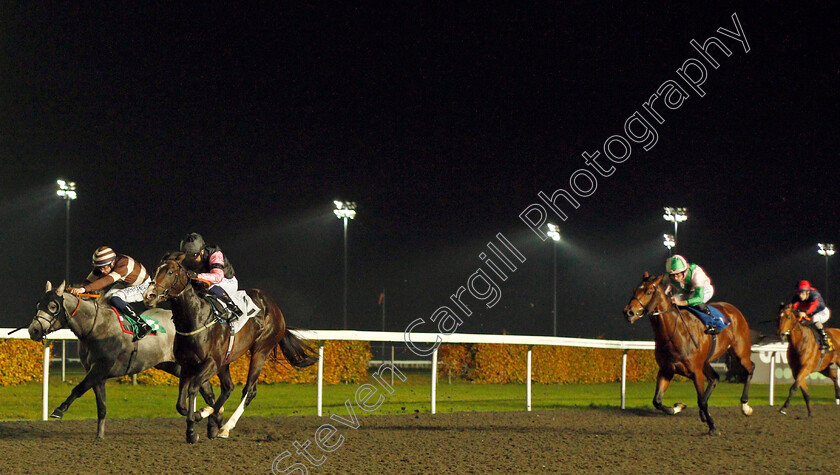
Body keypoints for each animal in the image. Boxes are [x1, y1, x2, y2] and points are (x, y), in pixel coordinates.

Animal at [28, 280, 217, 440]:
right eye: (38, 304)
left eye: (53, 306)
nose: (34, 330)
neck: (95, 327)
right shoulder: (98, 375)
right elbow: (102, 407)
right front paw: (100, 436)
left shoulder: (100, 368)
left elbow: (79, 388)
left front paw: (59, 410)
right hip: (174, 366)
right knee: (206, 389)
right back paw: (211, 417)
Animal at [143, 255, 316, 444]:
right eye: (155, 270)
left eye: (170, 272)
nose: (149, 295)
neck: (195, 319)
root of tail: (273, 306)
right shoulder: (187, 365)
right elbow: (180, 404)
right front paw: (200, 417)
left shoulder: (211, 363)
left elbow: (193, 389)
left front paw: (193, 427)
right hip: (225, 361)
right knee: (228, 387)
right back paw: (213, 421)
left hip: (260, 350)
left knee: (249, 390)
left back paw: (225, 426)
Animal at [624, 272, 756, 436]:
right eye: (634, 290)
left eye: (648, 292)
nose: (628, 312)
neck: (674, 333)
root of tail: (733, 310)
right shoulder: (666, 370)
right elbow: (657, 401)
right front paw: (678, 407)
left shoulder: (696, 372)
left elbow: (702, 401)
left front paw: (712, 427)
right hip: (706, 361)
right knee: (715, 378)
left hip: (740, 352)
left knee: (750, 368)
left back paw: (745, 406)